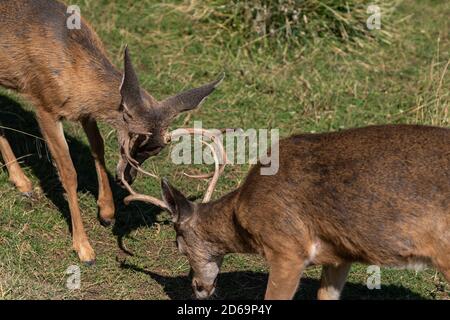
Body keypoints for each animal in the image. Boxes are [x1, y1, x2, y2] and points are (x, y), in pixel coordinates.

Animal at [0, 0, 224, 264]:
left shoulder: (85, 111)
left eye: (156, 150)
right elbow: (68, 172)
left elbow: (98, 146)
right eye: (133, 141)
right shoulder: (45, 105)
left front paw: (107, 211)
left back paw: (22, 182)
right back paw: (24, 183)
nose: (128, 177)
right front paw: (84, 248)